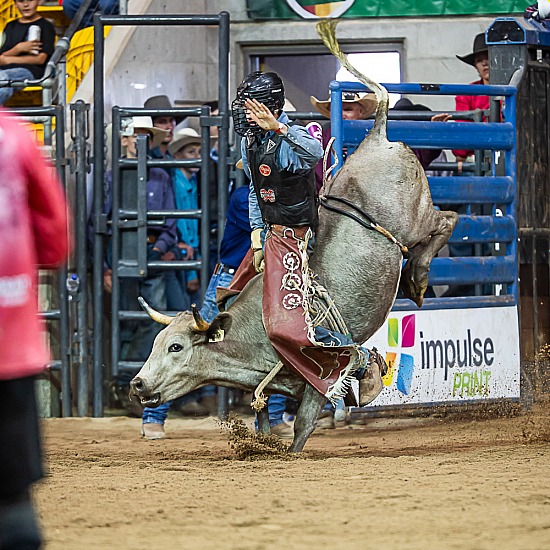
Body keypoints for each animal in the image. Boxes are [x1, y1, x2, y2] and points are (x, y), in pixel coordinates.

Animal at [128, 20, 458, 452]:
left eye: (176, 346)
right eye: (155, 343)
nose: (137, 384)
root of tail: (376, 136)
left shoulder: (321, 372)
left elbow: (303, 425)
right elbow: (262, 417)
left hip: (417, 218)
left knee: (447, 220)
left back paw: (418, 277)